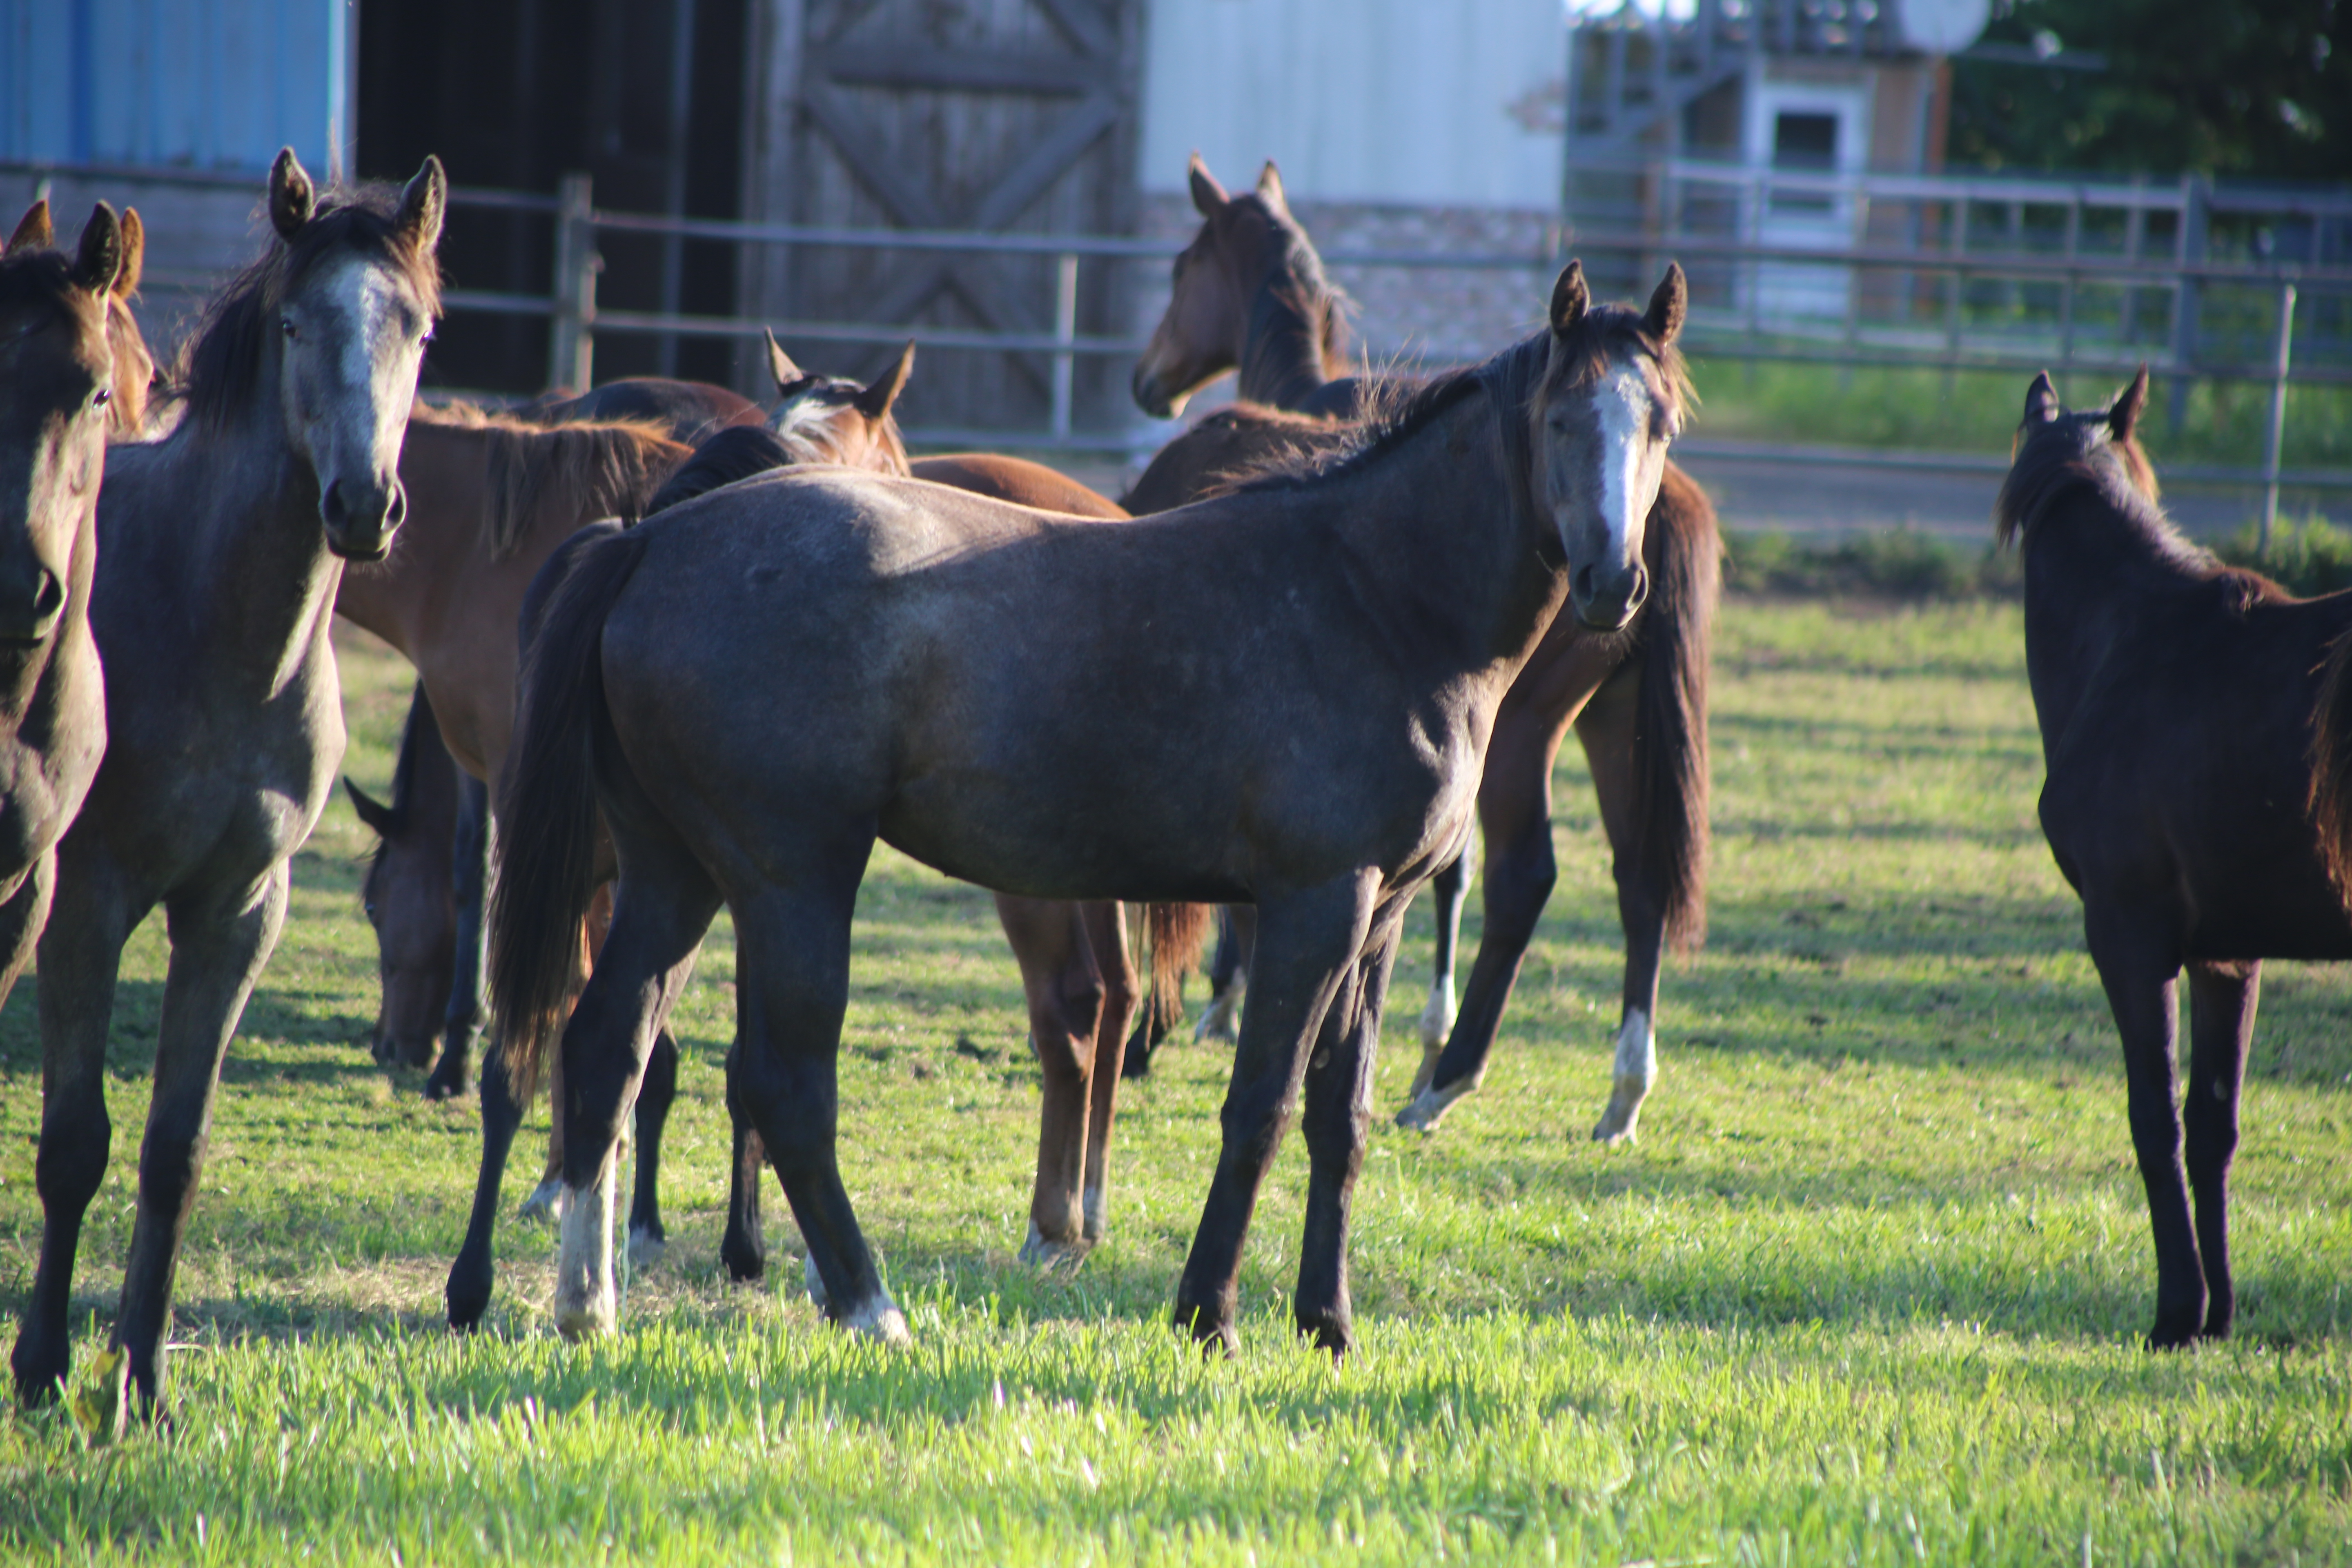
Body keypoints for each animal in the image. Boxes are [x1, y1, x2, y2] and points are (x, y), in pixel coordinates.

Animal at [10, 153, 444, 1420]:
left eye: (419, 330)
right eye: (298, 323)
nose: (364, 505)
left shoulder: (242, 910)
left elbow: (174, 1150)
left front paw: (143, 1381)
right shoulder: (86, 901)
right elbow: (74, 1145)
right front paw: (45, 1367)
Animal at [487, 257, 1684, 1354]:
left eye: (1660, 424)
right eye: (1561, 416)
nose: (1611, 583)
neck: (1376, 596)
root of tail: (647, 541)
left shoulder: (1379, 916)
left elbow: (1337, 1120)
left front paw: (1328, 1324)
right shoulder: (1315, 905)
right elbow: (1260, 1108)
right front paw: (1209, 1315)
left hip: (677, 871)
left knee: (607, 1044)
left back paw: (587, 1303)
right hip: (792, 879)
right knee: (783, 1086)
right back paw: (869, 1306)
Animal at [1124, 169, 1712, 1142]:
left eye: (1182, 267)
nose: (1147, 381)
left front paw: (1226, 1004)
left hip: (1532, 731)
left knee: (1526, 876)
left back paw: (1450, 1080)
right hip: (1620, 717)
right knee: (1641, 882)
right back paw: (1622, 1093)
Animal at [2004, 369, 2352, 1354]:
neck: (2133, 649)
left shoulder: (2130, 937)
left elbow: (2153, 1117)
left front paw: (2175, 1314)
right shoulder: (2225, 955)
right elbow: (2213, 1124)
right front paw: (2218, 1314)